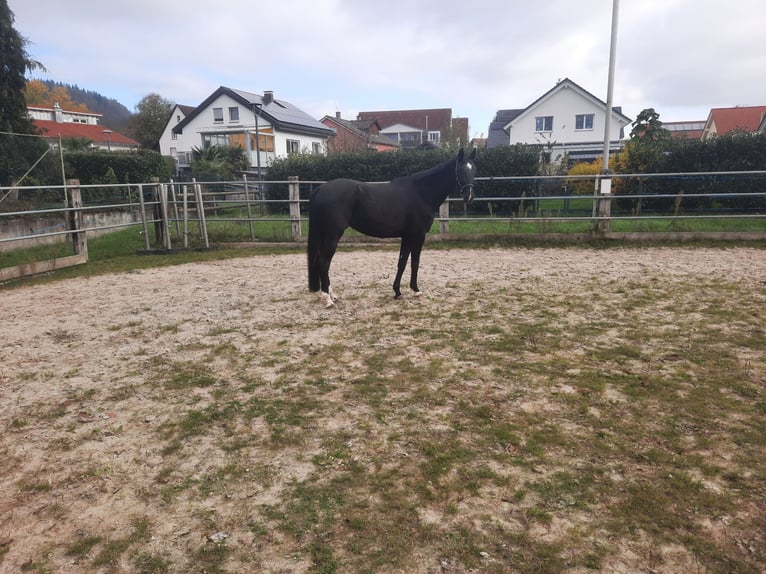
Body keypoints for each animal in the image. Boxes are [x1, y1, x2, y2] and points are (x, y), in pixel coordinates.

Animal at [308, 151, 476, 308]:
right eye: (461, 170)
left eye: (474, 170)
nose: (469, 197)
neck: (421, 193)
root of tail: (320, 189)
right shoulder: (418, 235)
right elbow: (415, 262)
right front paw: (416, 290)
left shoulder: (407, 236)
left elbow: (402, 262)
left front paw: (397, 291)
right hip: (332, 236)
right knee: (324, 263)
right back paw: (328, 299)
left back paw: (333, 295)